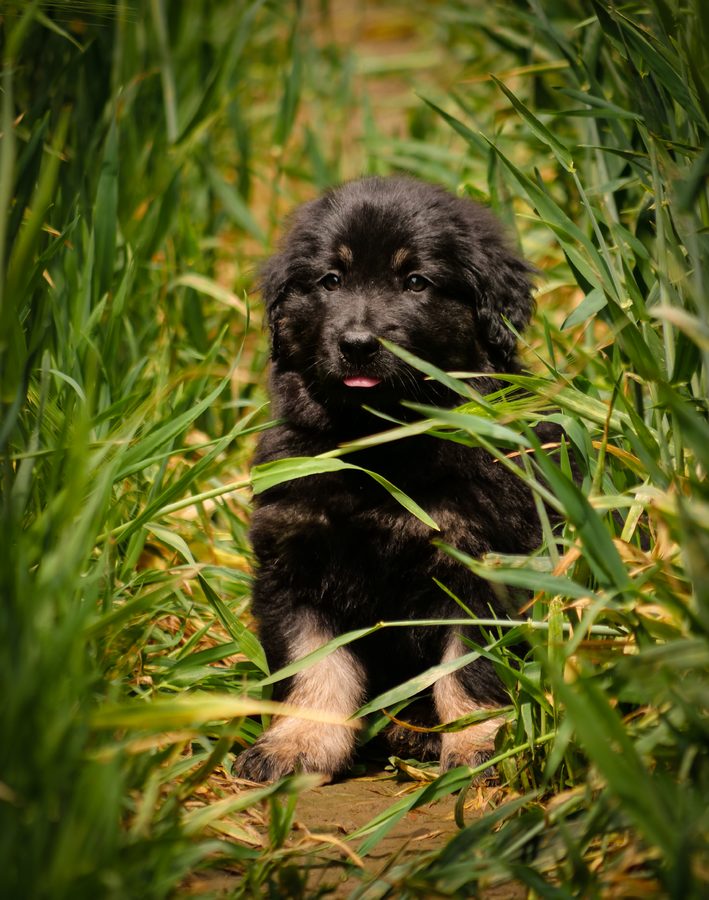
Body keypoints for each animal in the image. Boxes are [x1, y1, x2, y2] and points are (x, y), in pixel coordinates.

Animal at [236, 176, 546, 782]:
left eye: (416, 281)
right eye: (331, 280)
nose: (357, 344)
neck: (380, 453)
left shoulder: (479, 565)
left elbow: (470, 670)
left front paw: (479, 743)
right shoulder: (293, 563)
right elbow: (314, 666)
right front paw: (297, 744)